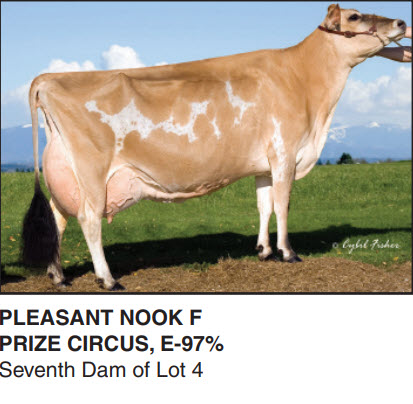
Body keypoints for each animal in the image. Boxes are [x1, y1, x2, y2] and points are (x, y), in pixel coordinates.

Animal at [22, 4, 407, 290]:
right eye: (355, 16)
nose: (402, 22)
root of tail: (50, 78)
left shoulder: (265, 164)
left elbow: (264, 205)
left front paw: (264, 251)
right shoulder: (285, 153)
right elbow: (283, 205)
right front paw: (288, 253)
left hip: (66, 172)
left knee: (58, 218)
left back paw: (58, 276)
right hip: (92, 171)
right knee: (89, 219)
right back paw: (107, 278)